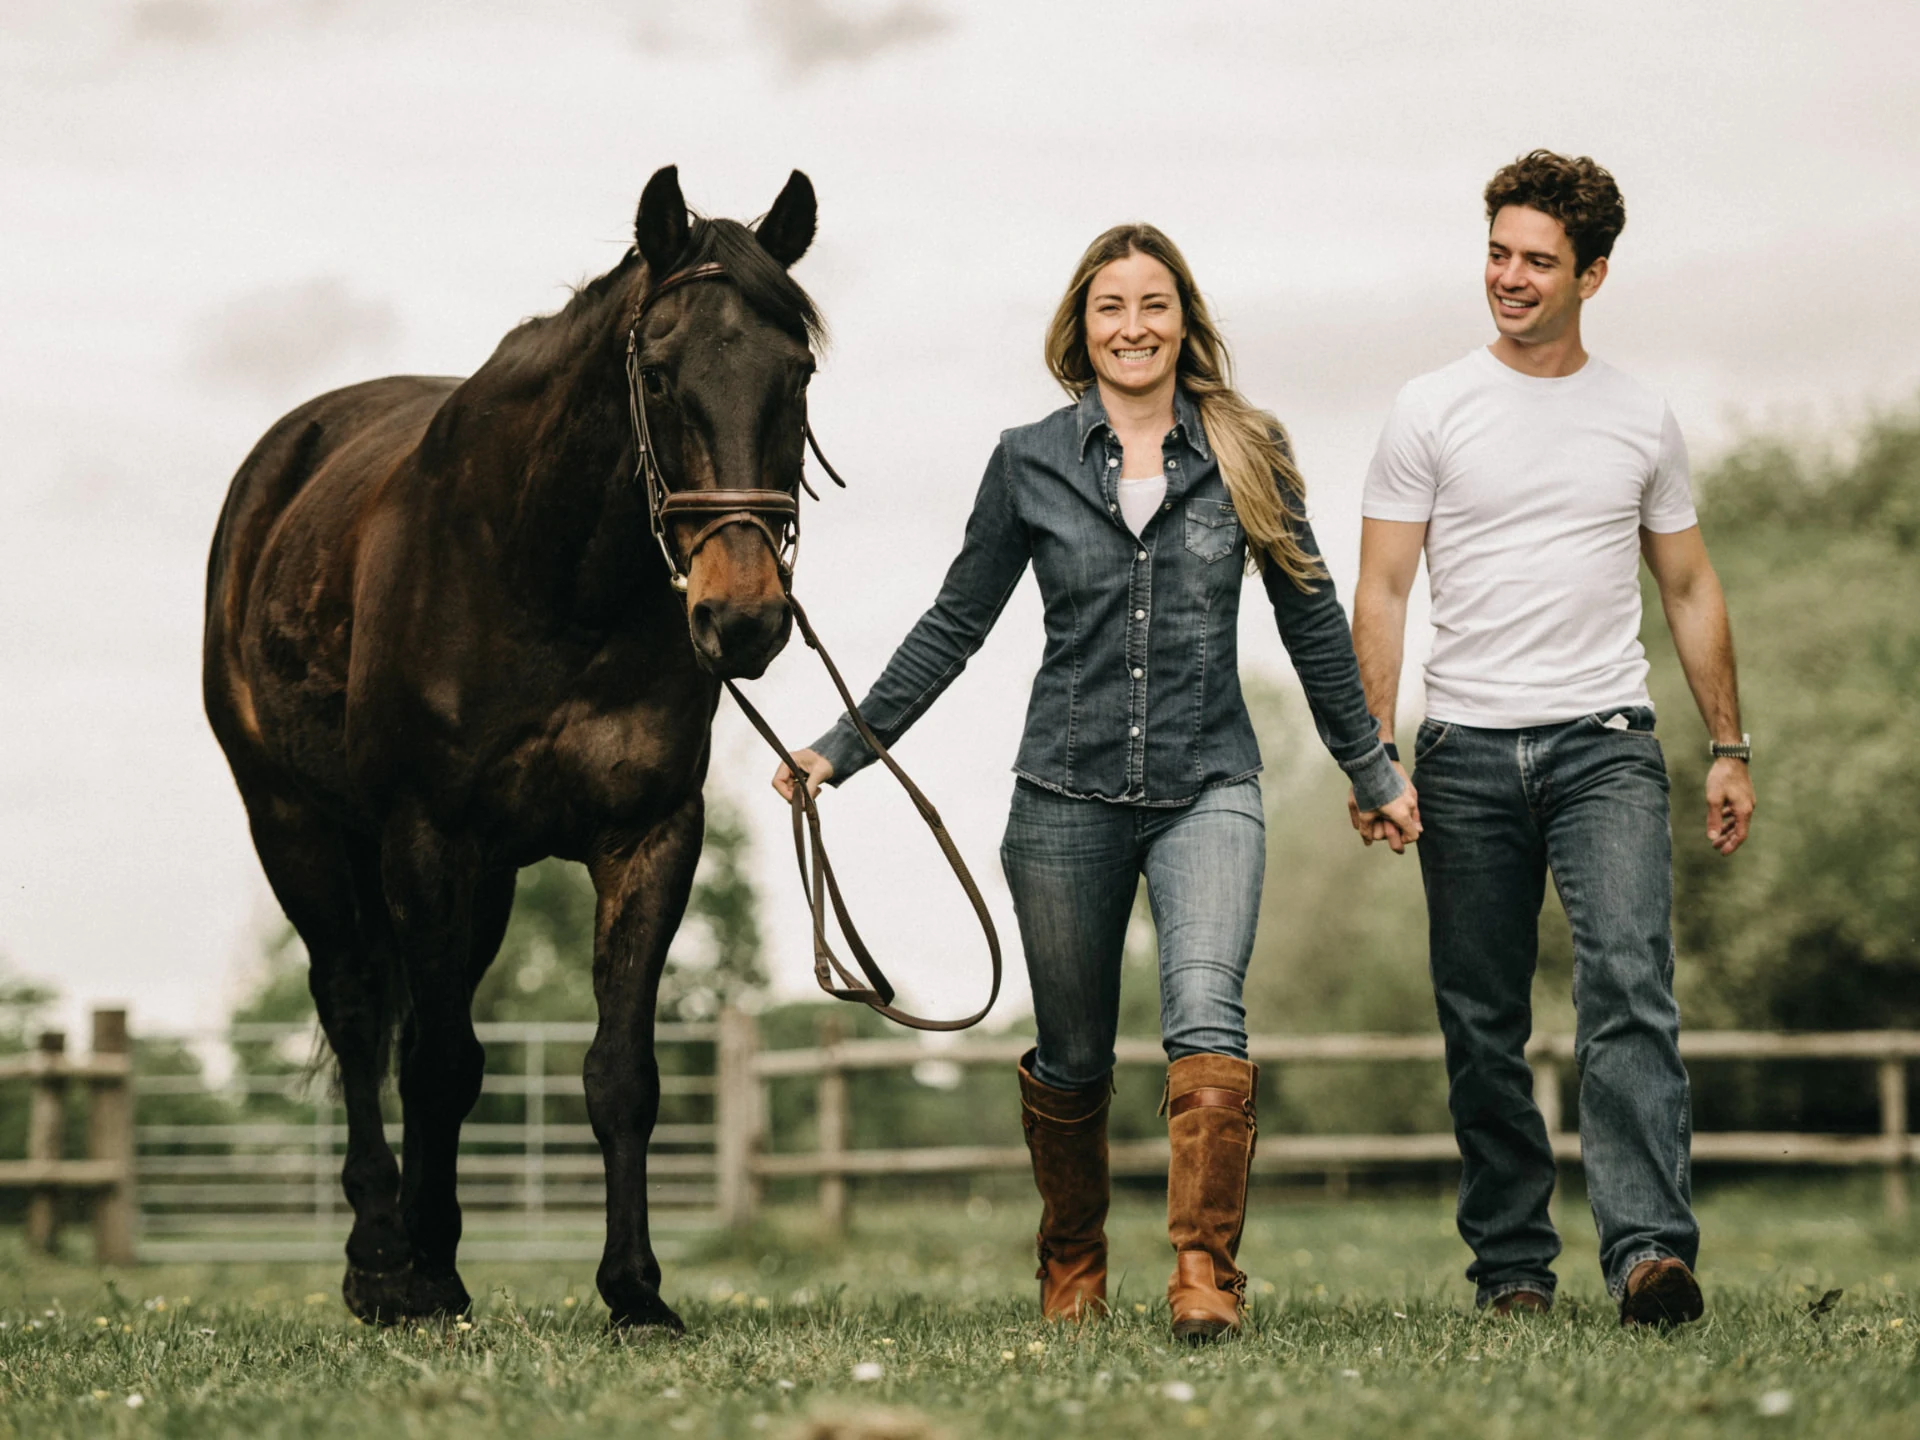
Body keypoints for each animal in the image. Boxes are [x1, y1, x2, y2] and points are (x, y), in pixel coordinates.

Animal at [202, 166, 822, 1332]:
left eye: (799, 372)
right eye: (659, 375)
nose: (745, 618)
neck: (549, 579)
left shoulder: (646, 836)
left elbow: (620, 1071)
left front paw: (635, 1292)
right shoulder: (425, 838)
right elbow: (438, 1062)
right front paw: (422, 1280)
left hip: (481, 880)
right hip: (295, 828)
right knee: (358, 1012)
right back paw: (379, 1260)